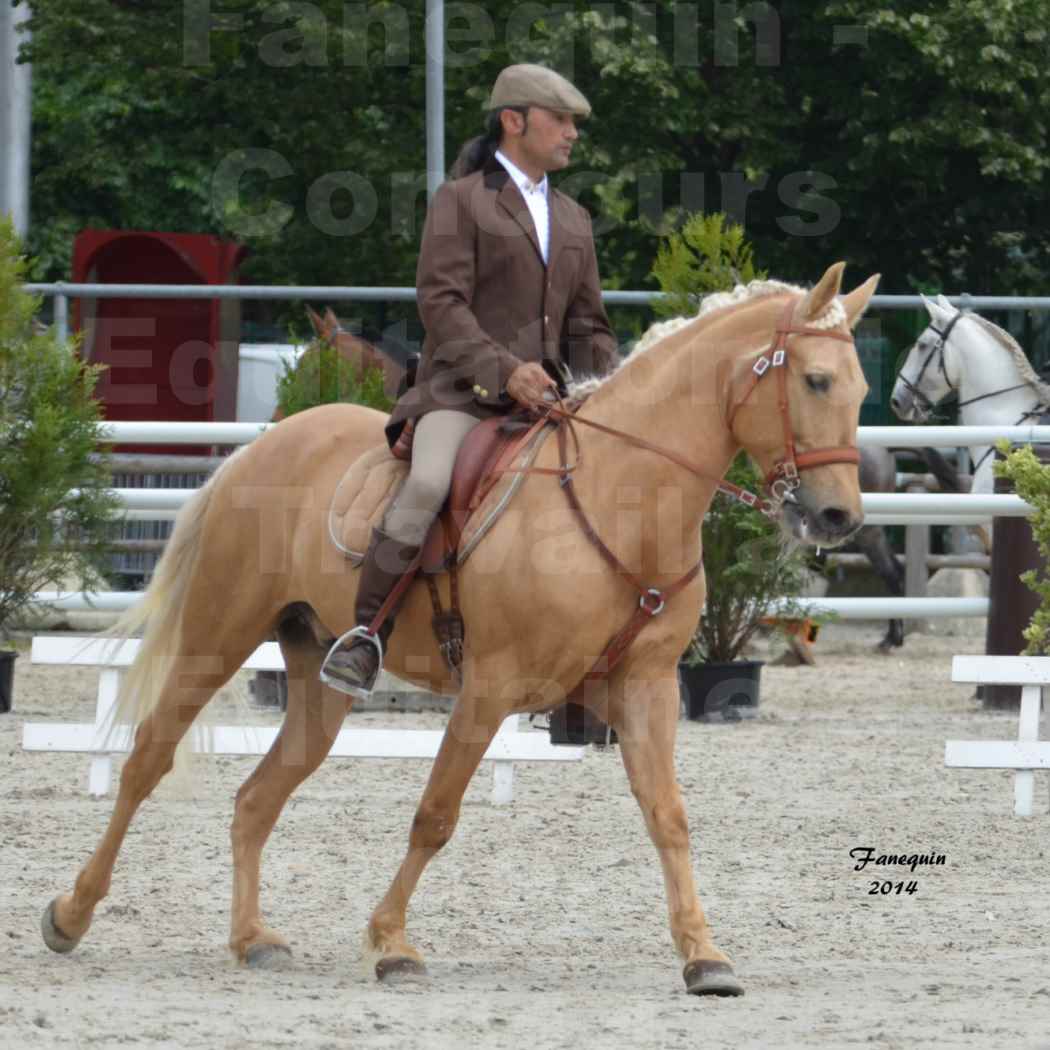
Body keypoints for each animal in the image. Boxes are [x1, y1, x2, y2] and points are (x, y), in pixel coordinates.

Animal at [38, 264, 877, 999]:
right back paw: (71, 915)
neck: (622, 500)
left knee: (257, 797)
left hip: (317, 679)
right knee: (147, 759)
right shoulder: (490, 688)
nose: (839, 517)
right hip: (218, 635)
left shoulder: (644, 689)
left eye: (860, 389)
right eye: (815, 381)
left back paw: (253, 940)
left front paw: (705, 957)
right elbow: (435, 816)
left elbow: (669, 817)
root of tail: (264, 445)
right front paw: (391, 944)